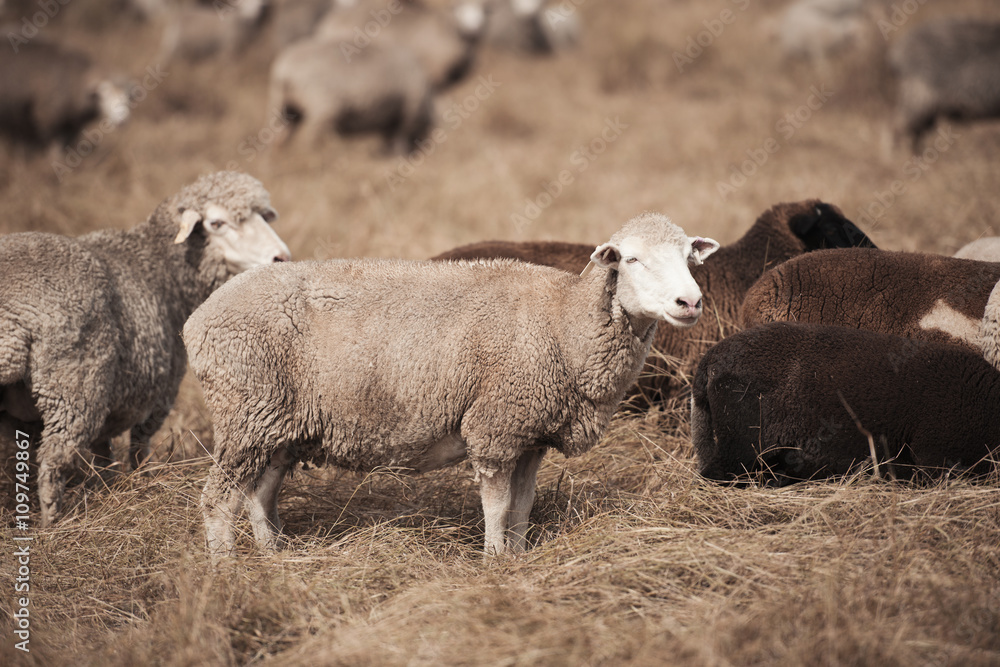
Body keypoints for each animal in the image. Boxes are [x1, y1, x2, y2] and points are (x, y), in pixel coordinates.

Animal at [0, 40, 130, 151]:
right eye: (103, 95)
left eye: (126, 98)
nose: (122, 120)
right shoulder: (48, 119)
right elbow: (55, 148)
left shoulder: (71, 126)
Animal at [0, 171, 291, 526]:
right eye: (217, 223)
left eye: (263, 216)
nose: (280, 256)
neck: (158, 266)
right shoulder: (158, 394)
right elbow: (138, 446)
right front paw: (141, 479)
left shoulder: (111, 400)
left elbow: (103, 452)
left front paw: (108, 485)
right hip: (73, 385)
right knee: (55, 458)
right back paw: (53, 523)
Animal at [184, 213, 720, 557]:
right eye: (630, 260)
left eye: (689, 259)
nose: (690, 302)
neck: (563, 322)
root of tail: (198, 319)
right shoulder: (495, 426)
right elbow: (498, 507)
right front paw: (493, 562)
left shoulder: (529, 435)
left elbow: (522, 508)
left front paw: (517, 558)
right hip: (245, 410)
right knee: (217, 500)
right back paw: (226, 569)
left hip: (277, 424)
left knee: (259, 493)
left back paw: (274, 557)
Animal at [267, 36, 435, 152]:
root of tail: (285, 70)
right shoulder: (408, 113)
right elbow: (400, 139)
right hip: (321, 108)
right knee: (309, 138)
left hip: (284, 108)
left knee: (279, 139)